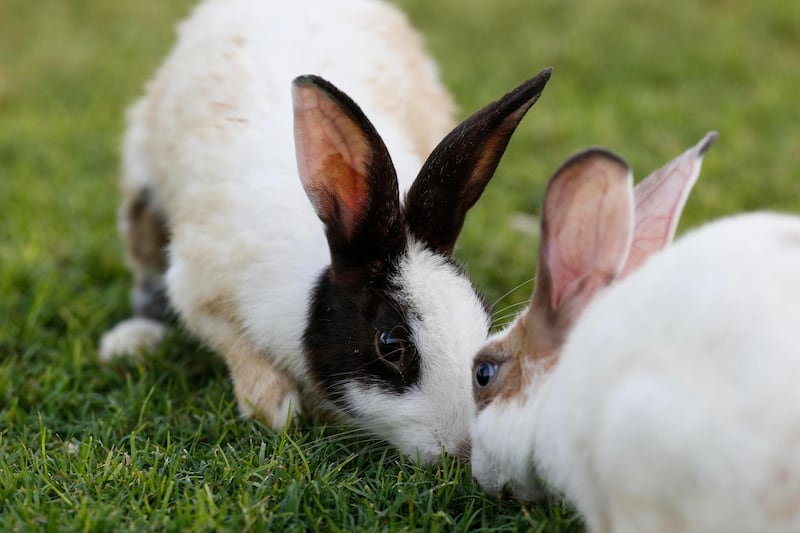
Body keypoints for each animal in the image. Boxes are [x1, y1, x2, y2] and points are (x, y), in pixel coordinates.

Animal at [97, 0, 552, 462]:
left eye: (483, 316)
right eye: (390, 346)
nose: (462, 450)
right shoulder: (202, 291)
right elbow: (235, 347)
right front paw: (275, 406)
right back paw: (131, 340)